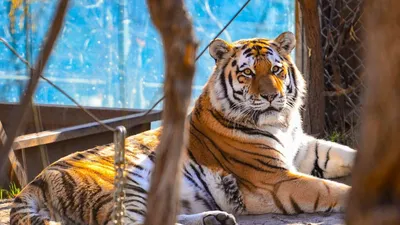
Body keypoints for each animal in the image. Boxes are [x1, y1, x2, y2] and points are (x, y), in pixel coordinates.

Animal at [9, 31, 356, 225]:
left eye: (276, 69)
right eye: (247, 73)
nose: (272, 96)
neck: (280, 124)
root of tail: (35, 182)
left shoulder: (303, 148)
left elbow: (344, 153)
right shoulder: (274, 179)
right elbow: (330, 189)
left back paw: (215, 219)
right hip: (122, 189)